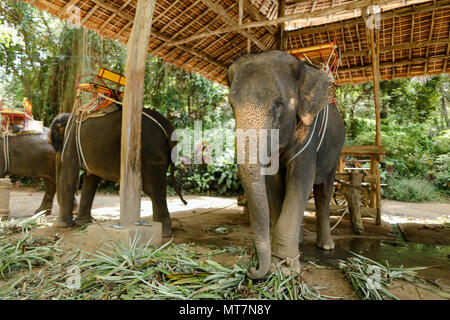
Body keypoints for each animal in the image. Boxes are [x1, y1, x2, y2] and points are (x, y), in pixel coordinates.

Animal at [50, 106, 186, 236]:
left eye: (52, 142)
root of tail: (168, 127)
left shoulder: (71, 141)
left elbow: (69, 175)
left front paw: (60, 225)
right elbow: (91, 178)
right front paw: (82, 223)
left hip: (151, 152)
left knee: (153, 189)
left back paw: (163, 232)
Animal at [227, 50, 346, 278]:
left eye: (278, 105)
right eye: (231, 105)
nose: (251, 268)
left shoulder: (309, 132)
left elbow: (301, 180)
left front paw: (285, 269)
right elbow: (273, 186)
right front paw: (279, 264)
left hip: (335, 155)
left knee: (323, 193)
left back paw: (326, 246)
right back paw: (299, 240)